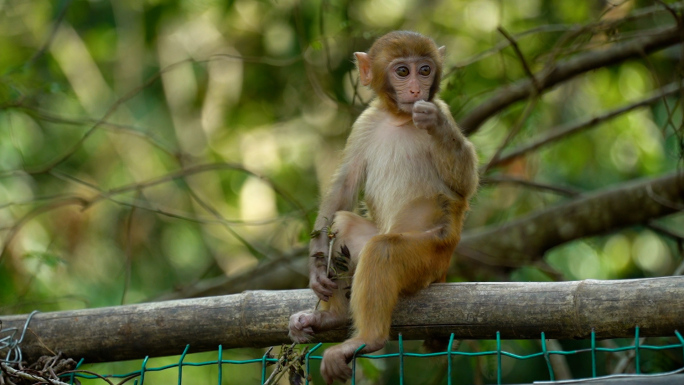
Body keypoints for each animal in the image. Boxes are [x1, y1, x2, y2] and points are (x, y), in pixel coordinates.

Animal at [292, 31, 478, 382]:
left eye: (425, 70)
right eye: (403, 72)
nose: (417, 89)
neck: (399, 119)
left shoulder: (443, 107)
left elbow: (465, 184)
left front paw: (434, 123)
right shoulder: (365, 122)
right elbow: (344, 187)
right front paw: (316, 268)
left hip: (431, 256)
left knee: (383, 250)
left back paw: (368, 338)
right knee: (344, 225)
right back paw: (333, 318)